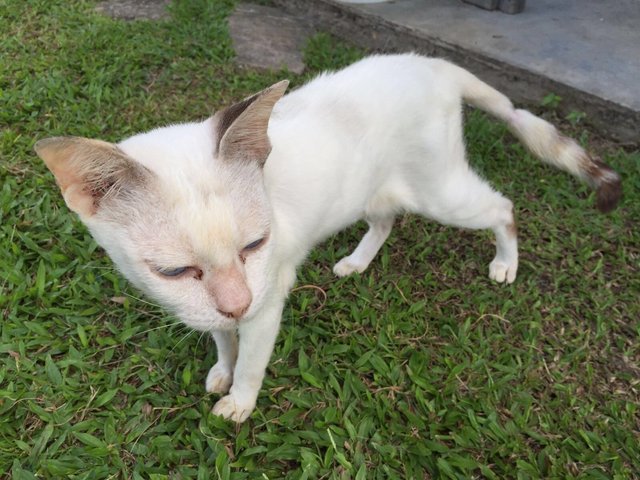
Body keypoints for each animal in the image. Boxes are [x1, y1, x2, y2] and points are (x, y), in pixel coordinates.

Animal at [35, 54, 620, 422]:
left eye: (255, 245)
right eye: (176, 271)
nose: (237, 303)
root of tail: (431, 63)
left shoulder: (267, 299)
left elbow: (251, 358)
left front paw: (239, 402)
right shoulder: (215, 305)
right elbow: (222, 337)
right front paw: (221, 368)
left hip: (442, 192)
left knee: (502, 207)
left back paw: (505, 263)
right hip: (374, 189)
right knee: (385, 219)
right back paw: (356, 262)